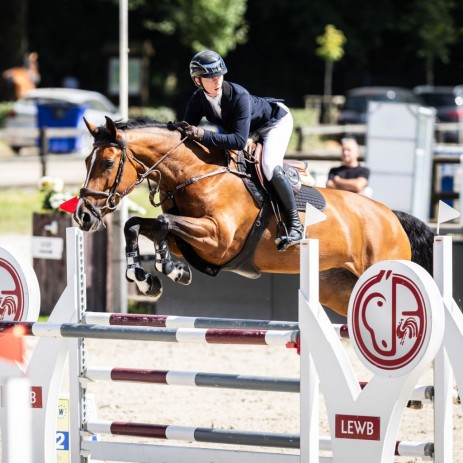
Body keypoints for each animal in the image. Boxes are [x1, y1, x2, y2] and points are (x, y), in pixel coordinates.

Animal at [72, 118, 436, 318]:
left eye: (107, 162)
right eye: (87, 161)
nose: (83, 216)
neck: (198, 173)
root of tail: (392, 217)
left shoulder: (218, 240)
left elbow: (162, 225)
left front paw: (170, 270)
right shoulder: (193, 241)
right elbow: (135, 225)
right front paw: (146, 278)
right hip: (338, 288)